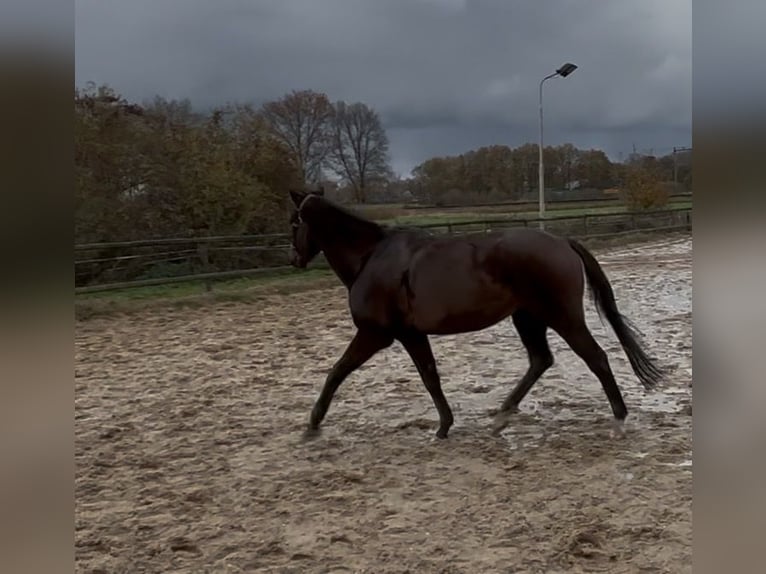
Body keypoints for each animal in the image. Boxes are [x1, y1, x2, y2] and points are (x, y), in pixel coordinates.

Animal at [287, 189, 664, 440]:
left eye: (293, 223)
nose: (295, 260)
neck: (372, 257)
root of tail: (562, 241)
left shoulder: (375, 334)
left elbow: (337, 372)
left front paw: (312, 424)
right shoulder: (411, 334)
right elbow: (430, 377)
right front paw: (444, 426)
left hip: (561, 317)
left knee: (595, 358)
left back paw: (619, 419)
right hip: (527, 318)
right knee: (541, 360)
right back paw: (502, 415)